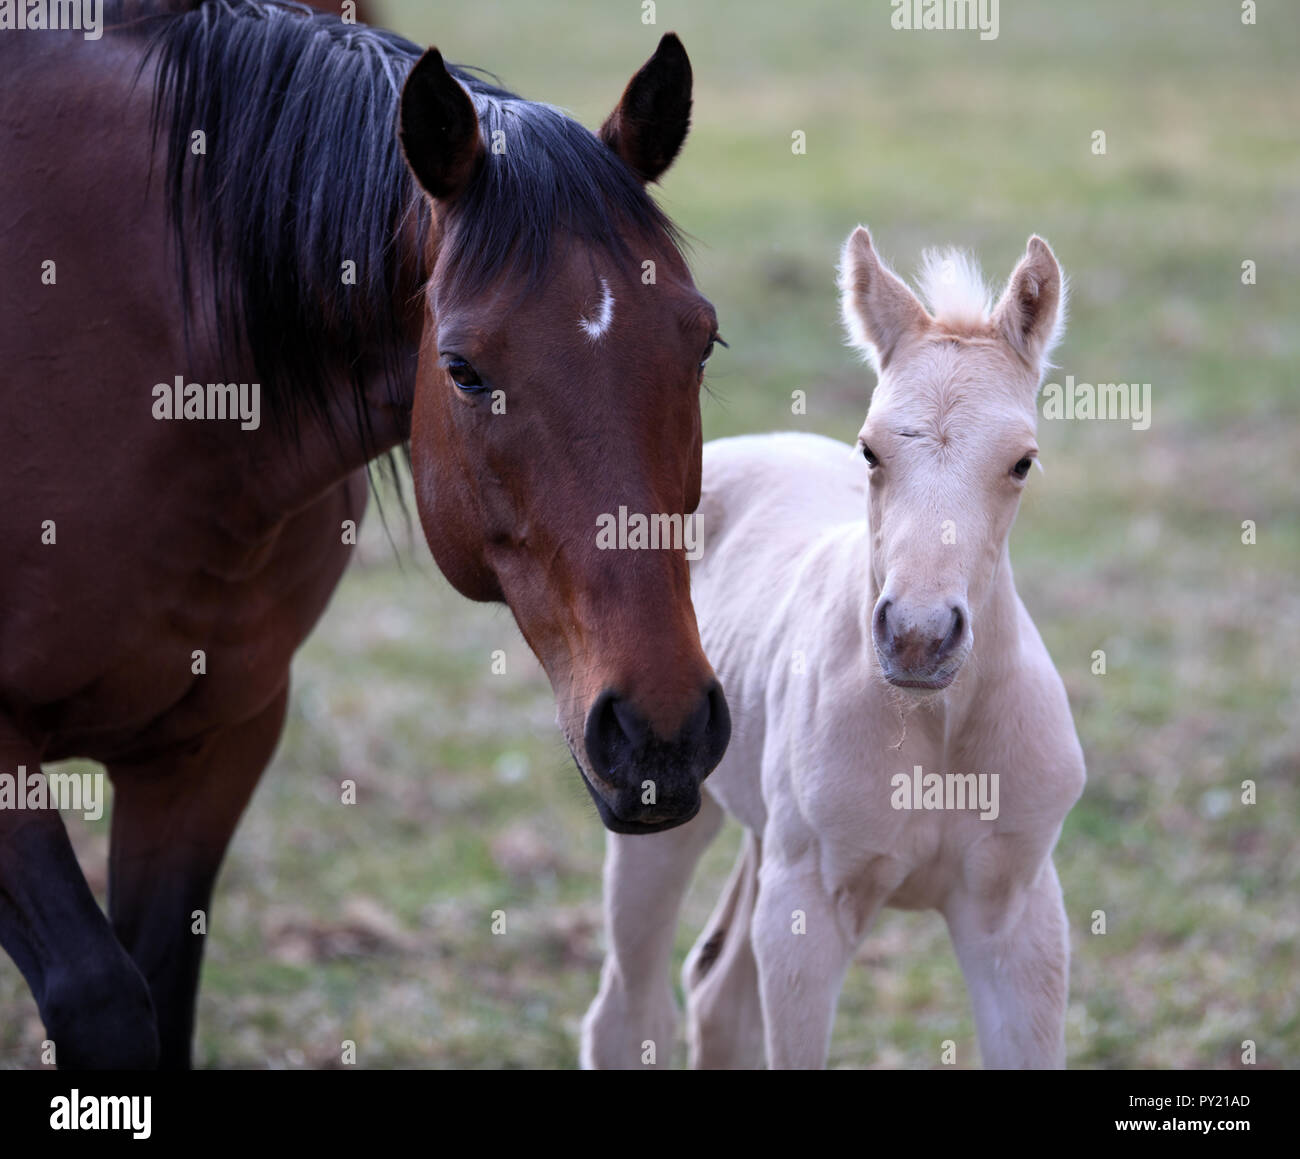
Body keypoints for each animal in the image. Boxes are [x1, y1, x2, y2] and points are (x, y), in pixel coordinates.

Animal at [582, 223, 1086, 1070]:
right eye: (870, 450)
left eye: (1022, 460)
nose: (918, 637)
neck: (935, 729)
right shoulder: (807, 907)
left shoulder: (1018, 912)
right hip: (661, 810)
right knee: (628, 1008)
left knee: (716, 992)